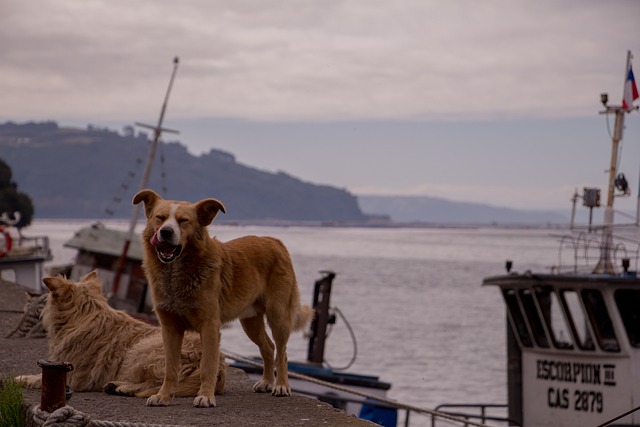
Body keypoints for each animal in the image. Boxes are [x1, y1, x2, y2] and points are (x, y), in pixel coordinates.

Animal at [15, 272, 225, 400]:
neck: (87, 313)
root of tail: (220, 369)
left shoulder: (70, 375)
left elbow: (38, 377)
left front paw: (20, 379)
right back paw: (116, 386)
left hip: (142, 350)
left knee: (161, 382)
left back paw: (124, 388)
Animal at [134, 190, 316, 408]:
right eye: (159, 218)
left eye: (184, 220)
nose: (166, 232)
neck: (177, 271)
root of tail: (274, 241)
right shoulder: (170, 328)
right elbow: (170, 368)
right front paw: (164, 396)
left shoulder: (210, 326)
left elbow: (207, 366)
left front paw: (205, 396)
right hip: (250, 322)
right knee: (268, 347)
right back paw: (266, 382)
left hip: (278, 315)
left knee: (282, 352)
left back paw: (281, 385)